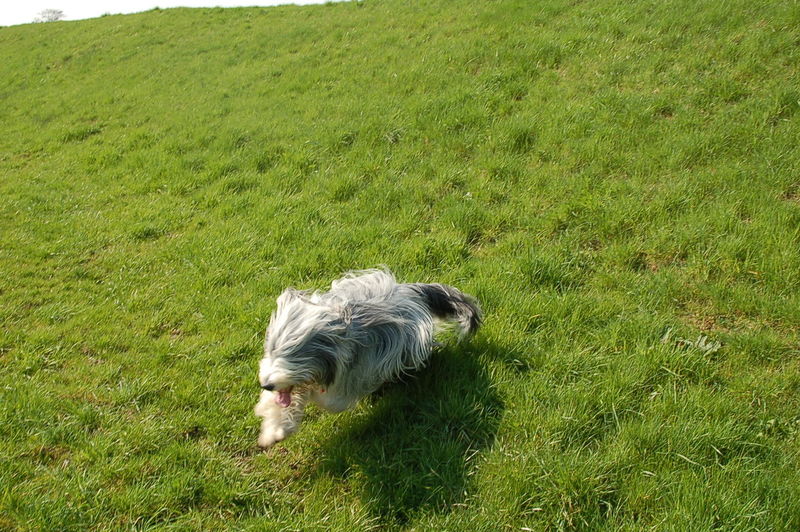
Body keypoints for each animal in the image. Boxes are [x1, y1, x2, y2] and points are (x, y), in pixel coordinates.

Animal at [254, 269, 482, 448]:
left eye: (293, 355)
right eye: (271, 350)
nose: (266, 384)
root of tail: (410, 290)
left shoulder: (358, 371)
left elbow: (330, 400)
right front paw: (275, 430)